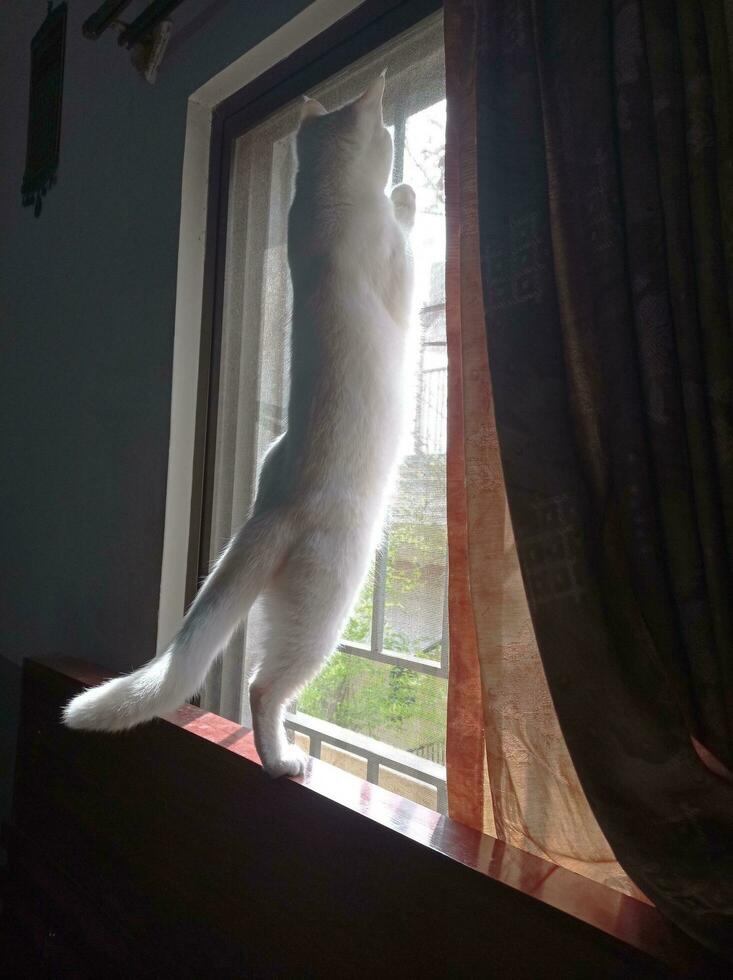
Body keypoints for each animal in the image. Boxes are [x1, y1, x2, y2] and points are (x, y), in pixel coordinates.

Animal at [61, 76, 418, 776]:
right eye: (388, 133)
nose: (392, 132)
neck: (324, 207)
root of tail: (273, 506)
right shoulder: (398, 275)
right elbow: (415, 242)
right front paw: (409, 194)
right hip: (326, 606)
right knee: (263, 685)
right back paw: (283, 761)